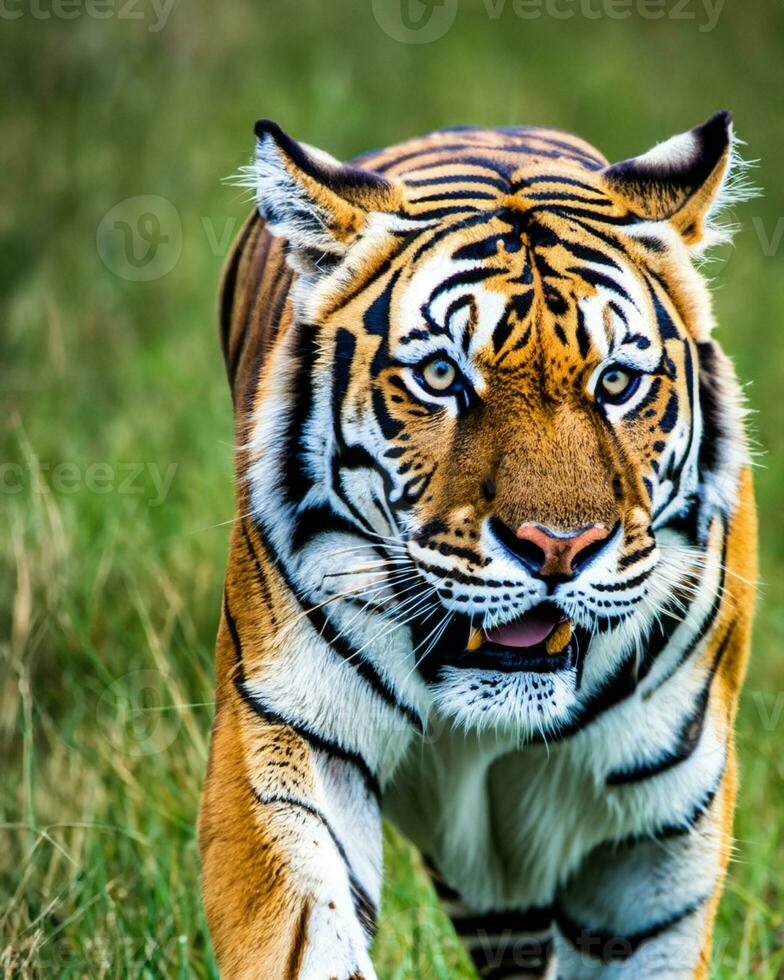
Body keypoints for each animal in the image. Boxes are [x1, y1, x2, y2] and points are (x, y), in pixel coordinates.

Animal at [198, 109, 760, 980]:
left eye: (616, 383)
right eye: (440, 376)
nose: (559, 547)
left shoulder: (660, 820)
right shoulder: (287, 740)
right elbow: (312, 939)